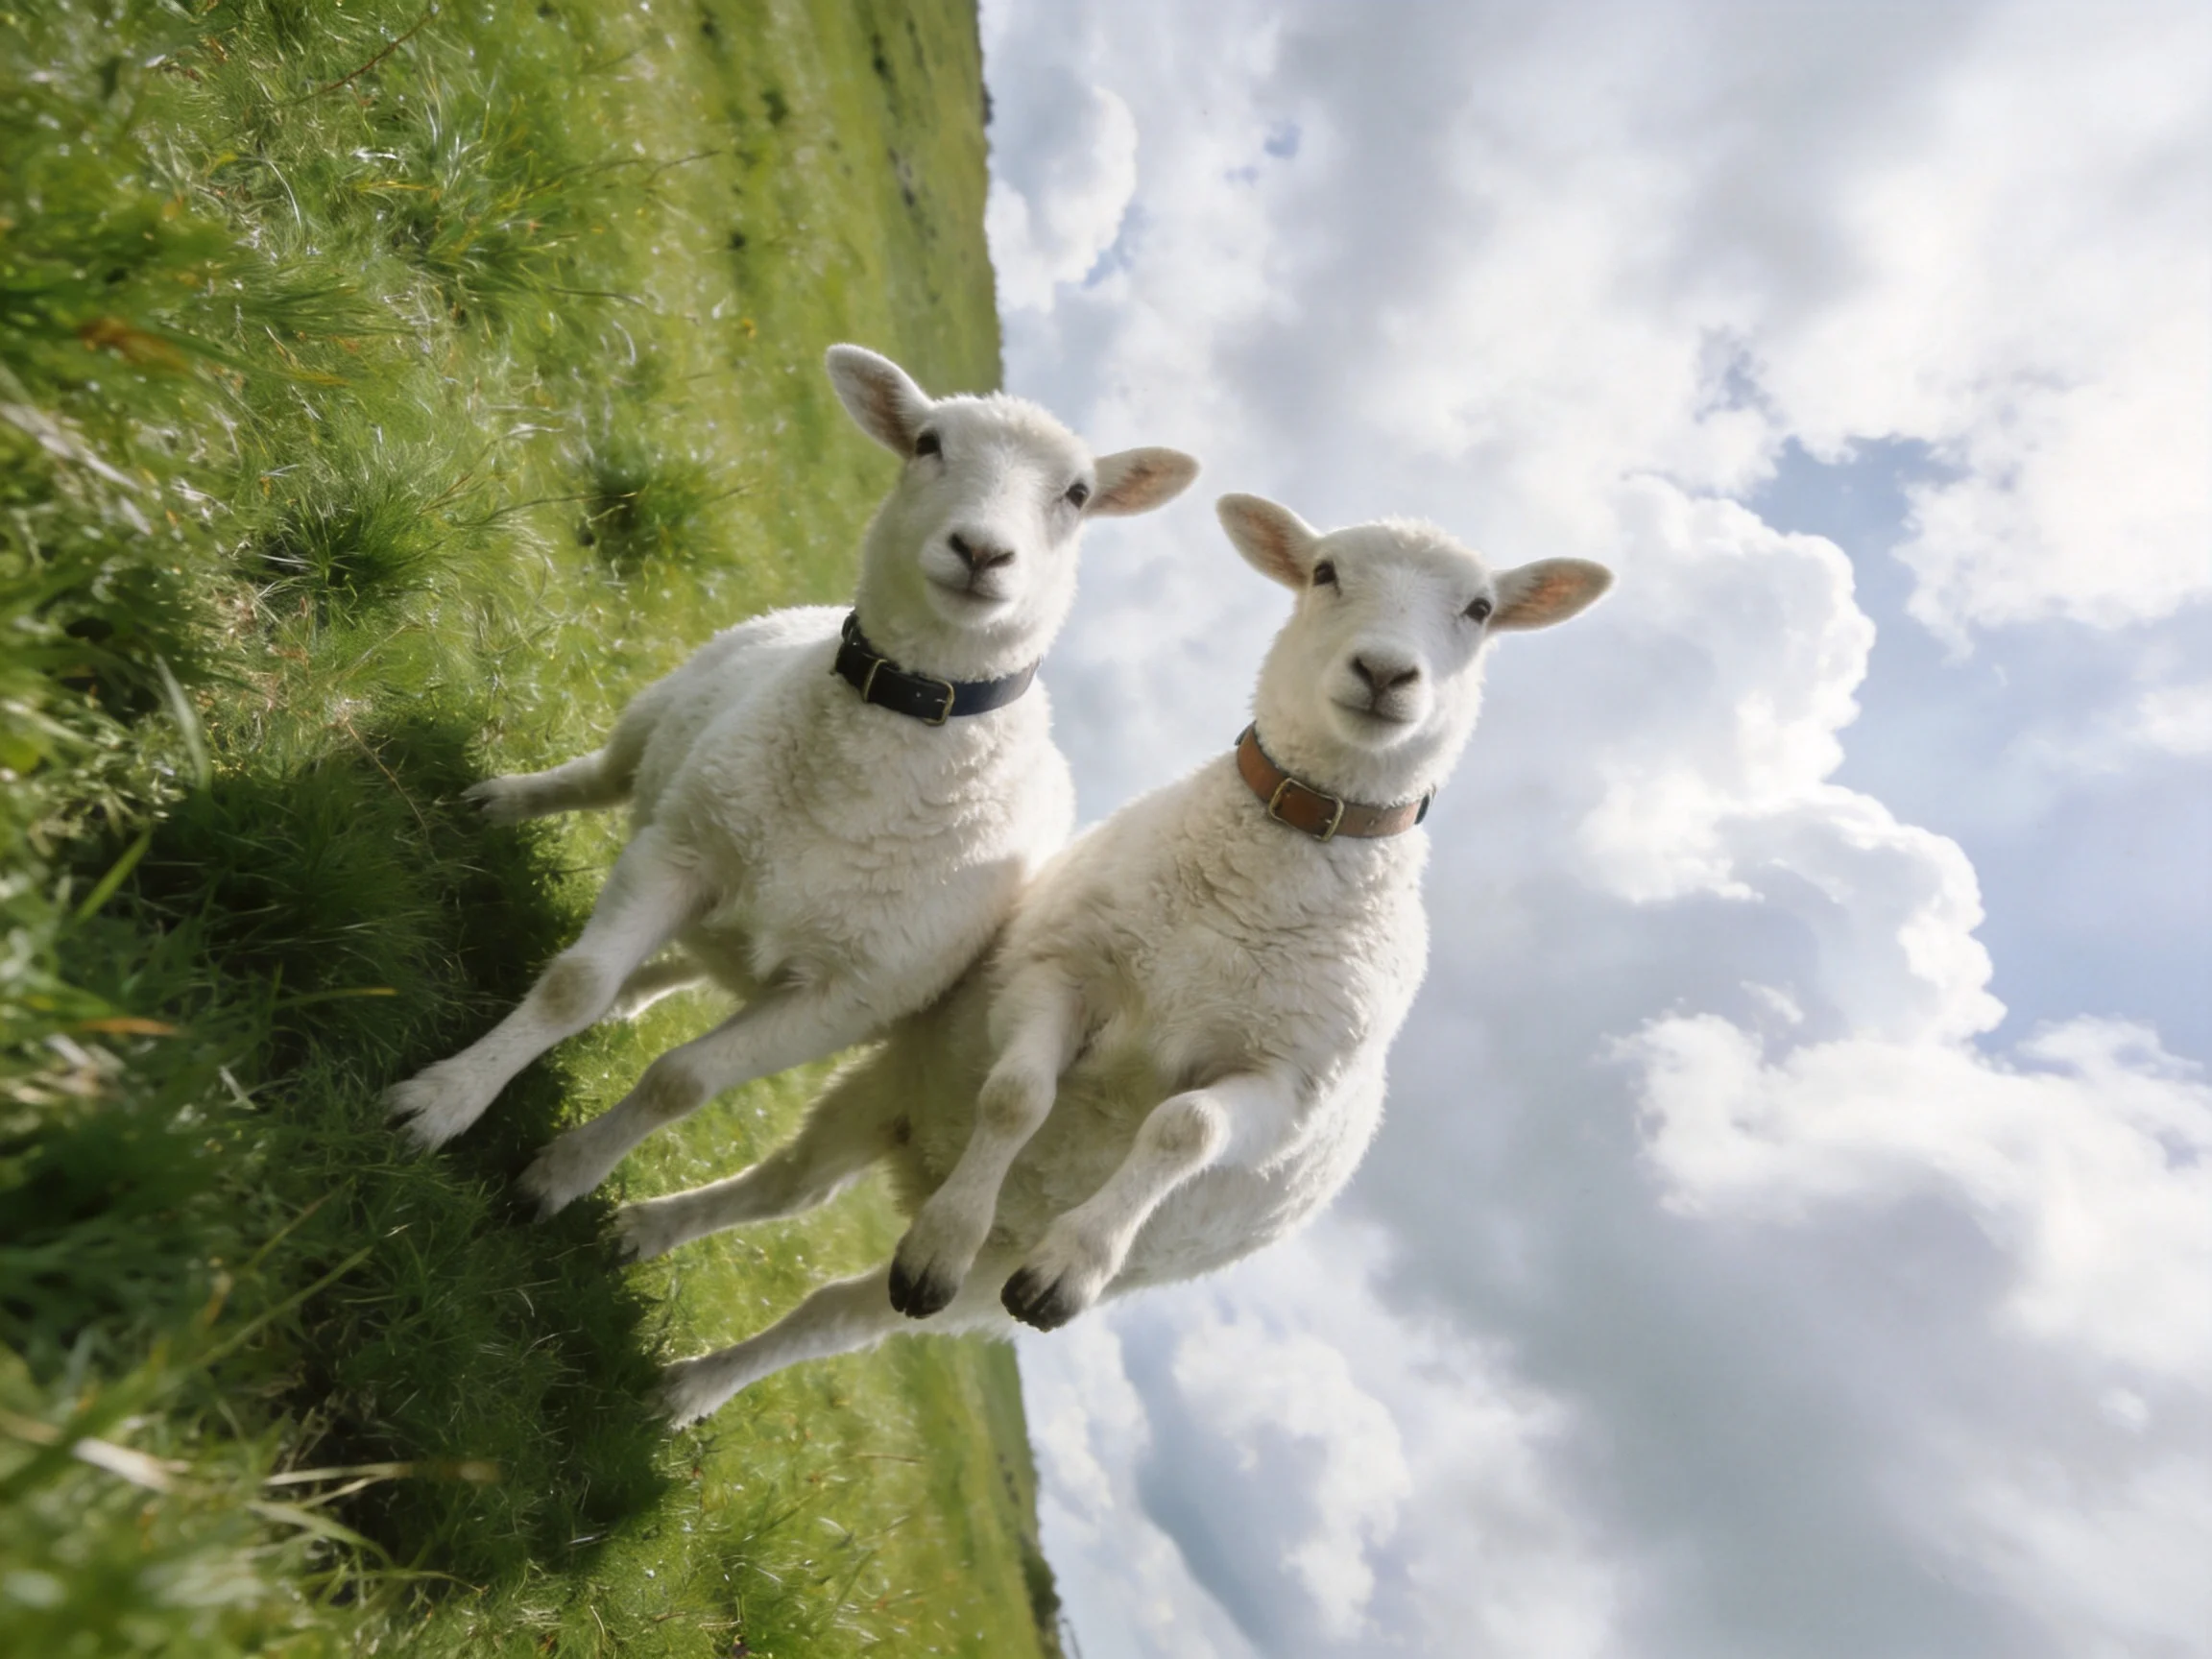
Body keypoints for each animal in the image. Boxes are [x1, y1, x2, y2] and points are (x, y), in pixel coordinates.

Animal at [382, 344, 1199, 1216]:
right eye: (928, 444)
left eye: (1077, 494)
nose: (982, 552)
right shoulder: (678, 854)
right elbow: (574, 984)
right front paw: (443, 1101)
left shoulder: (847, 999)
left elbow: (681, 1083)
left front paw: (564, 1176)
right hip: (665, 712)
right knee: (599, 777)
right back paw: (498, 802)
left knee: (693, 962)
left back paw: (636, 992)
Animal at [623, 493, 1613, 1427]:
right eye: (1325, 572)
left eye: (1479, 609)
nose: (1384, 673)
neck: (1259, 885)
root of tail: (919, 1171)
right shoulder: (1062, 971)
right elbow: (1019, 1094)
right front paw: (951, 1227)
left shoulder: (1283, 1084)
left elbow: (1186, 1130)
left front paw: (1074, 1266)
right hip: (897, 1091)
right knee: (784, 1190)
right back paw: (650, 1238)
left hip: (982, 1283)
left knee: (833, 1311)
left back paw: (695, 1385)